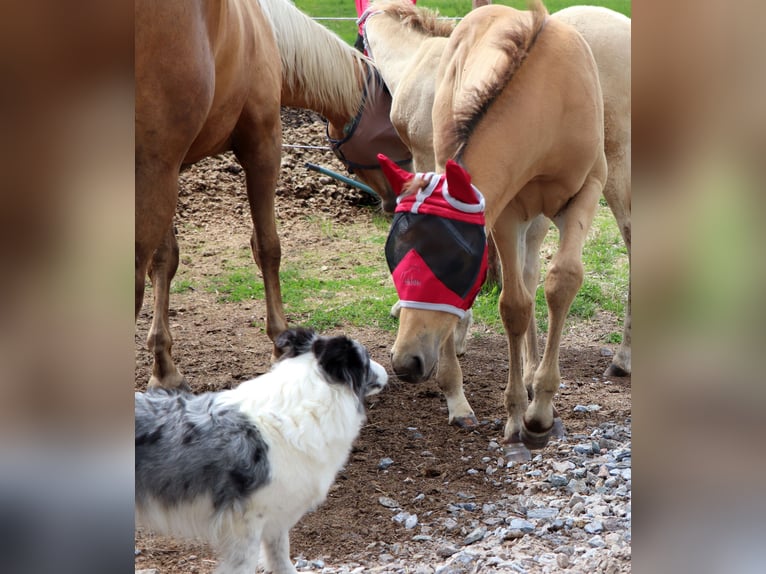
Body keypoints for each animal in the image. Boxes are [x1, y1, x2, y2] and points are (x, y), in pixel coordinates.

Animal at [137, 0, 414, 392]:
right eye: (393, 132)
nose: (405, 190)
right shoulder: (263, 145)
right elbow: (267, 247)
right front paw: (280, 345)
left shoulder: (171, 166)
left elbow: (163, 260)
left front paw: (164, 368)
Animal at [376, 0, 608, 462]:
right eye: (394, 258)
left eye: (455, 262)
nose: (405, 362)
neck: (550, 99)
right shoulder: (505, 210)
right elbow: (513, 305)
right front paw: (520, 418)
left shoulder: (588, 189)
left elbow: (561, 281)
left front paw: (542, 407)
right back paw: (457, 394)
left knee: (534, 274)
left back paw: (532, 374)